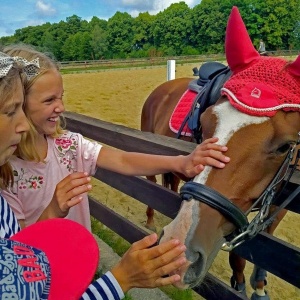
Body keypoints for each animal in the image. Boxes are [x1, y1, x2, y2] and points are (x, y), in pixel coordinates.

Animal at [141, 5, 300, 298]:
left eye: (284, 146)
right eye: (204, 123)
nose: (181, 253)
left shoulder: (278, 199)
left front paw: (260, 284)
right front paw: (240, 281)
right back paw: (149, 220)